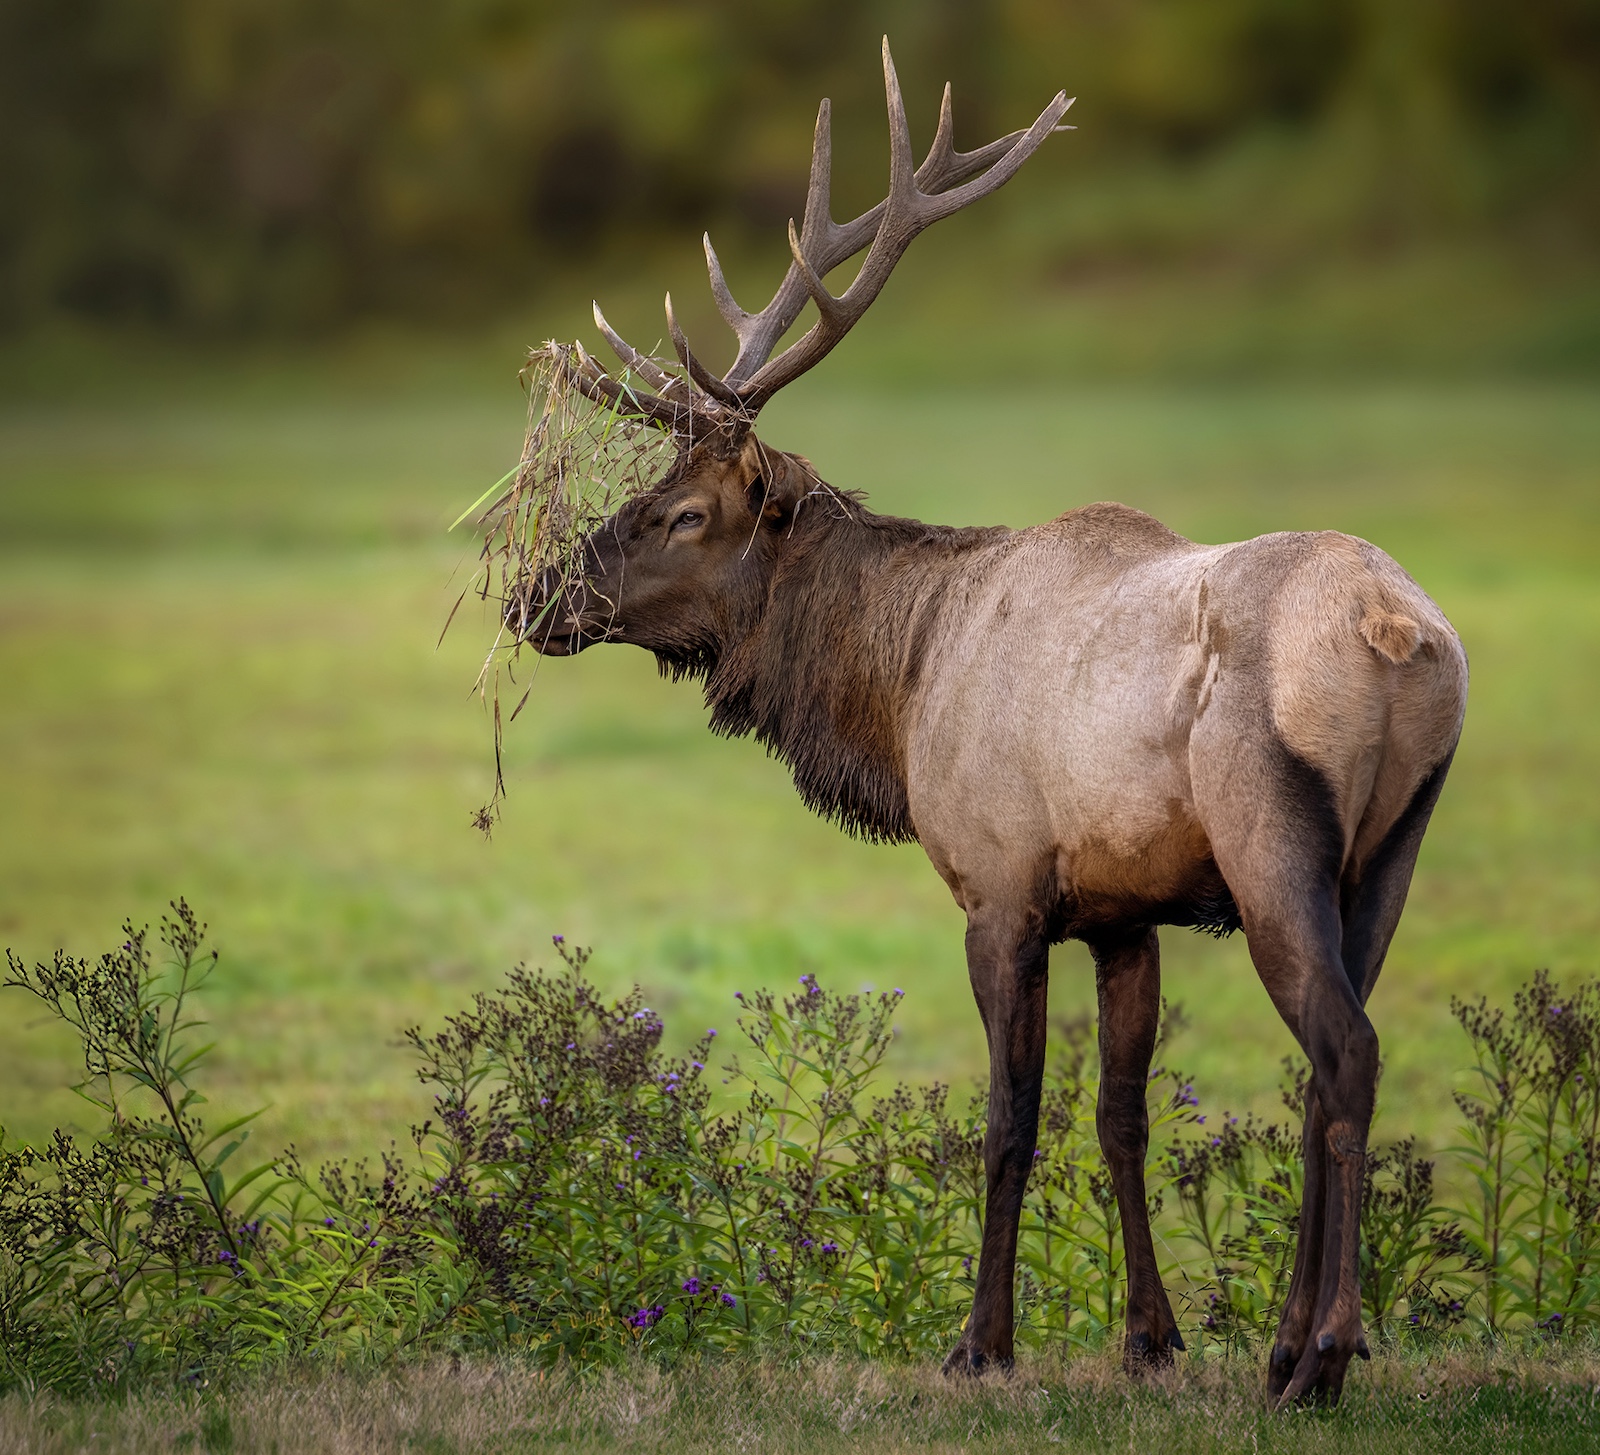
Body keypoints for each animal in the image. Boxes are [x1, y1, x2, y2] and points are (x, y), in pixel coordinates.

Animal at [512, 39, 1465, 1402]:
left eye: (685, 512)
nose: (536, 594)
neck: (900, 687)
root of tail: (1402, 632)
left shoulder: (1000, 883)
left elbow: (1012, 1115)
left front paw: (980, 1342)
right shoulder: (1124, 910)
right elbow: (1120, 1114)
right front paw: (1148, 1337)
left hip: (1270, 834)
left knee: (1345, 1052)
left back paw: (1322, 1356)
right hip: (1389, 849)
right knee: (1332, 1065)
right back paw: (1284, 1342)